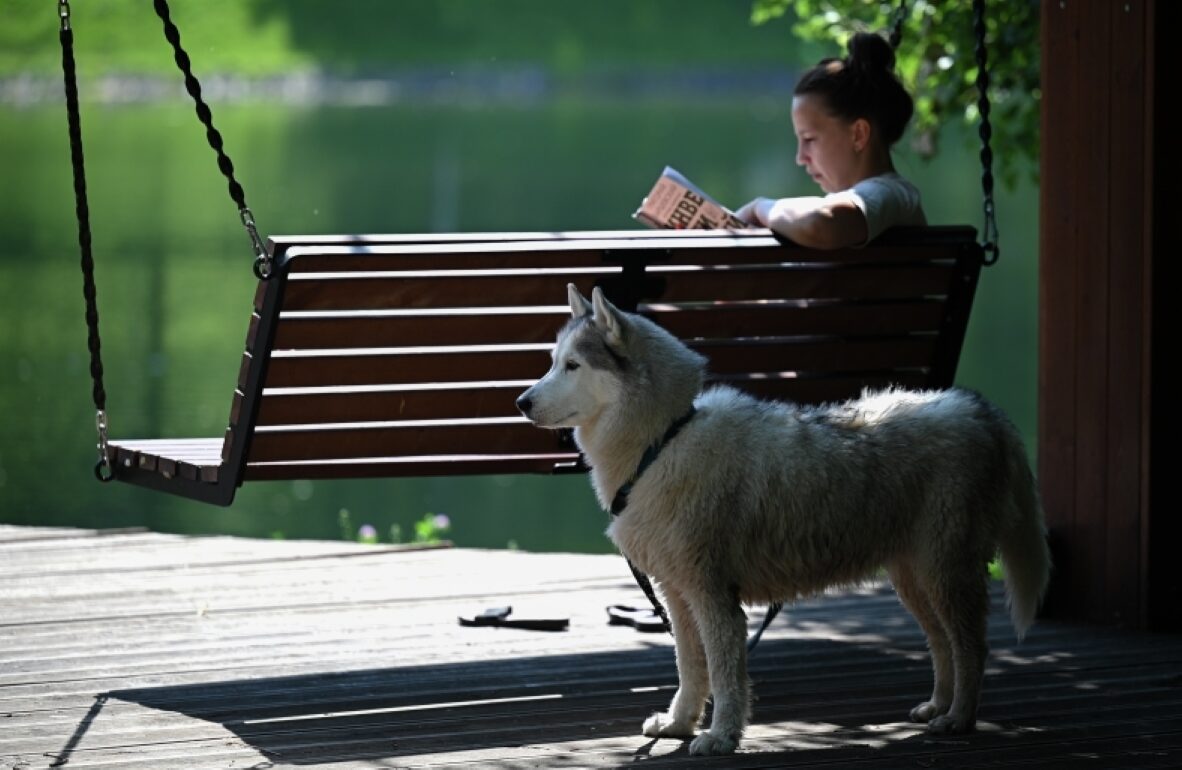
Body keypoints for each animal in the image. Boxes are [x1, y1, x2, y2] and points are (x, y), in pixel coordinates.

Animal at [517, 286, 1054, 756]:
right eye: (551, 361)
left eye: (573, 365)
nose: (521, 402)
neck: (665, 438)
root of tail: (982, 410)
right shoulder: (678, 594)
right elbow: (690, 669)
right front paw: (678, 724)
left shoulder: (715, 598)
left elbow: (725, 677)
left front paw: (720, 738)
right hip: (914, 579)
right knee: (942, 646)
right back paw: (938, 708)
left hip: (945, 574)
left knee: (972, 649)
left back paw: (960, 718)